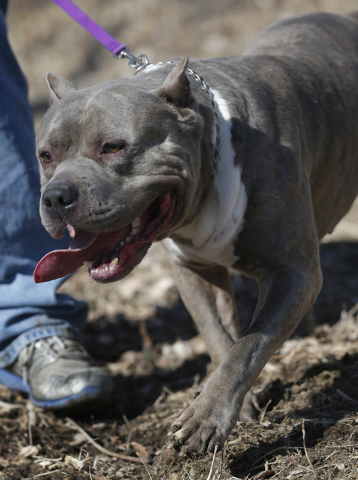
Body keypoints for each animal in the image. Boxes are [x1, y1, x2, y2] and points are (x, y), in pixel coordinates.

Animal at [34, 10, 358, 454]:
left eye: (113, 147)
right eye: (45, 156)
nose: (55, 196)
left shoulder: (294, 272)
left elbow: (250, 344)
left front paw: (206, 417)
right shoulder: (195, 271)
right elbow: (220, 337)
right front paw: (229, 405)